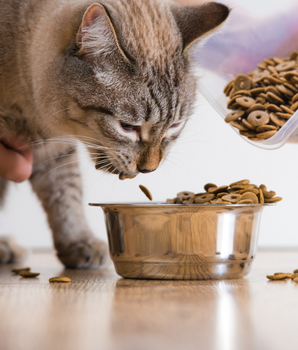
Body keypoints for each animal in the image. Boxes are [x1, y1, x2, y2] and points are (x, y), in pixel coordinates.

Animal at [0, 0, 229, 268]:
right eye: (127, 127)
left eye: (174, 126)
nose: (149, 169)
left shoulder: (56, 146)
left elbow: (66, 195)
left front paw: (80, 243)